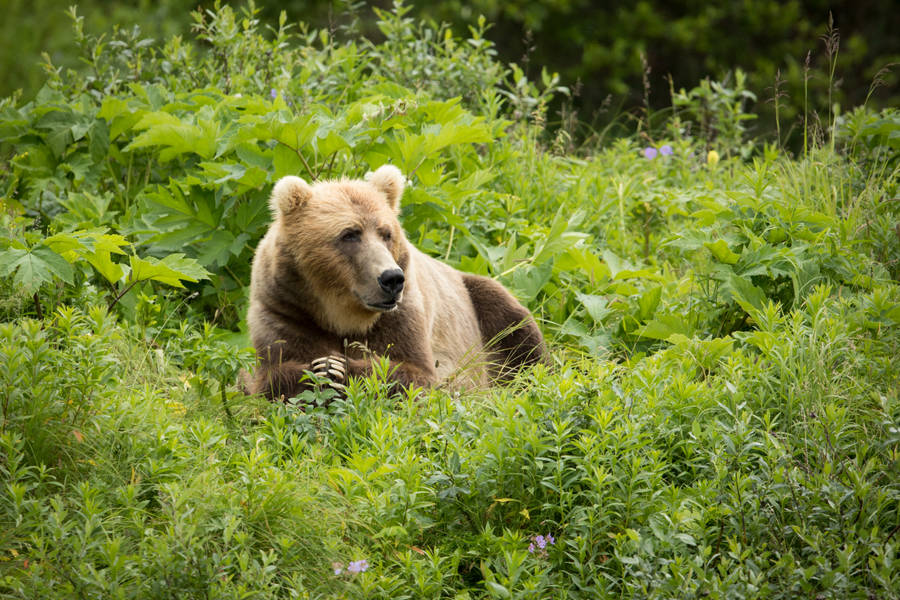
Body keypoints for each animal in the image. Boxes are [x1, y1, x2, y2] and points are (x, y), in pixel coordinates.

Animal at [246, 164, 545, 401]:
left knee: (517, 331)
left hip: (479, 304)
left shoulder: (403, 314)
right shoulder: (286, 311)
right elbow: (272, 374)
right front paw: (319, 367)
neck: (341, 315)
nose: (391, 278)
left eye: (386, 233)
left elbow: (416, 374)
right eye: (349, 234)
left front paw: (339, 367)